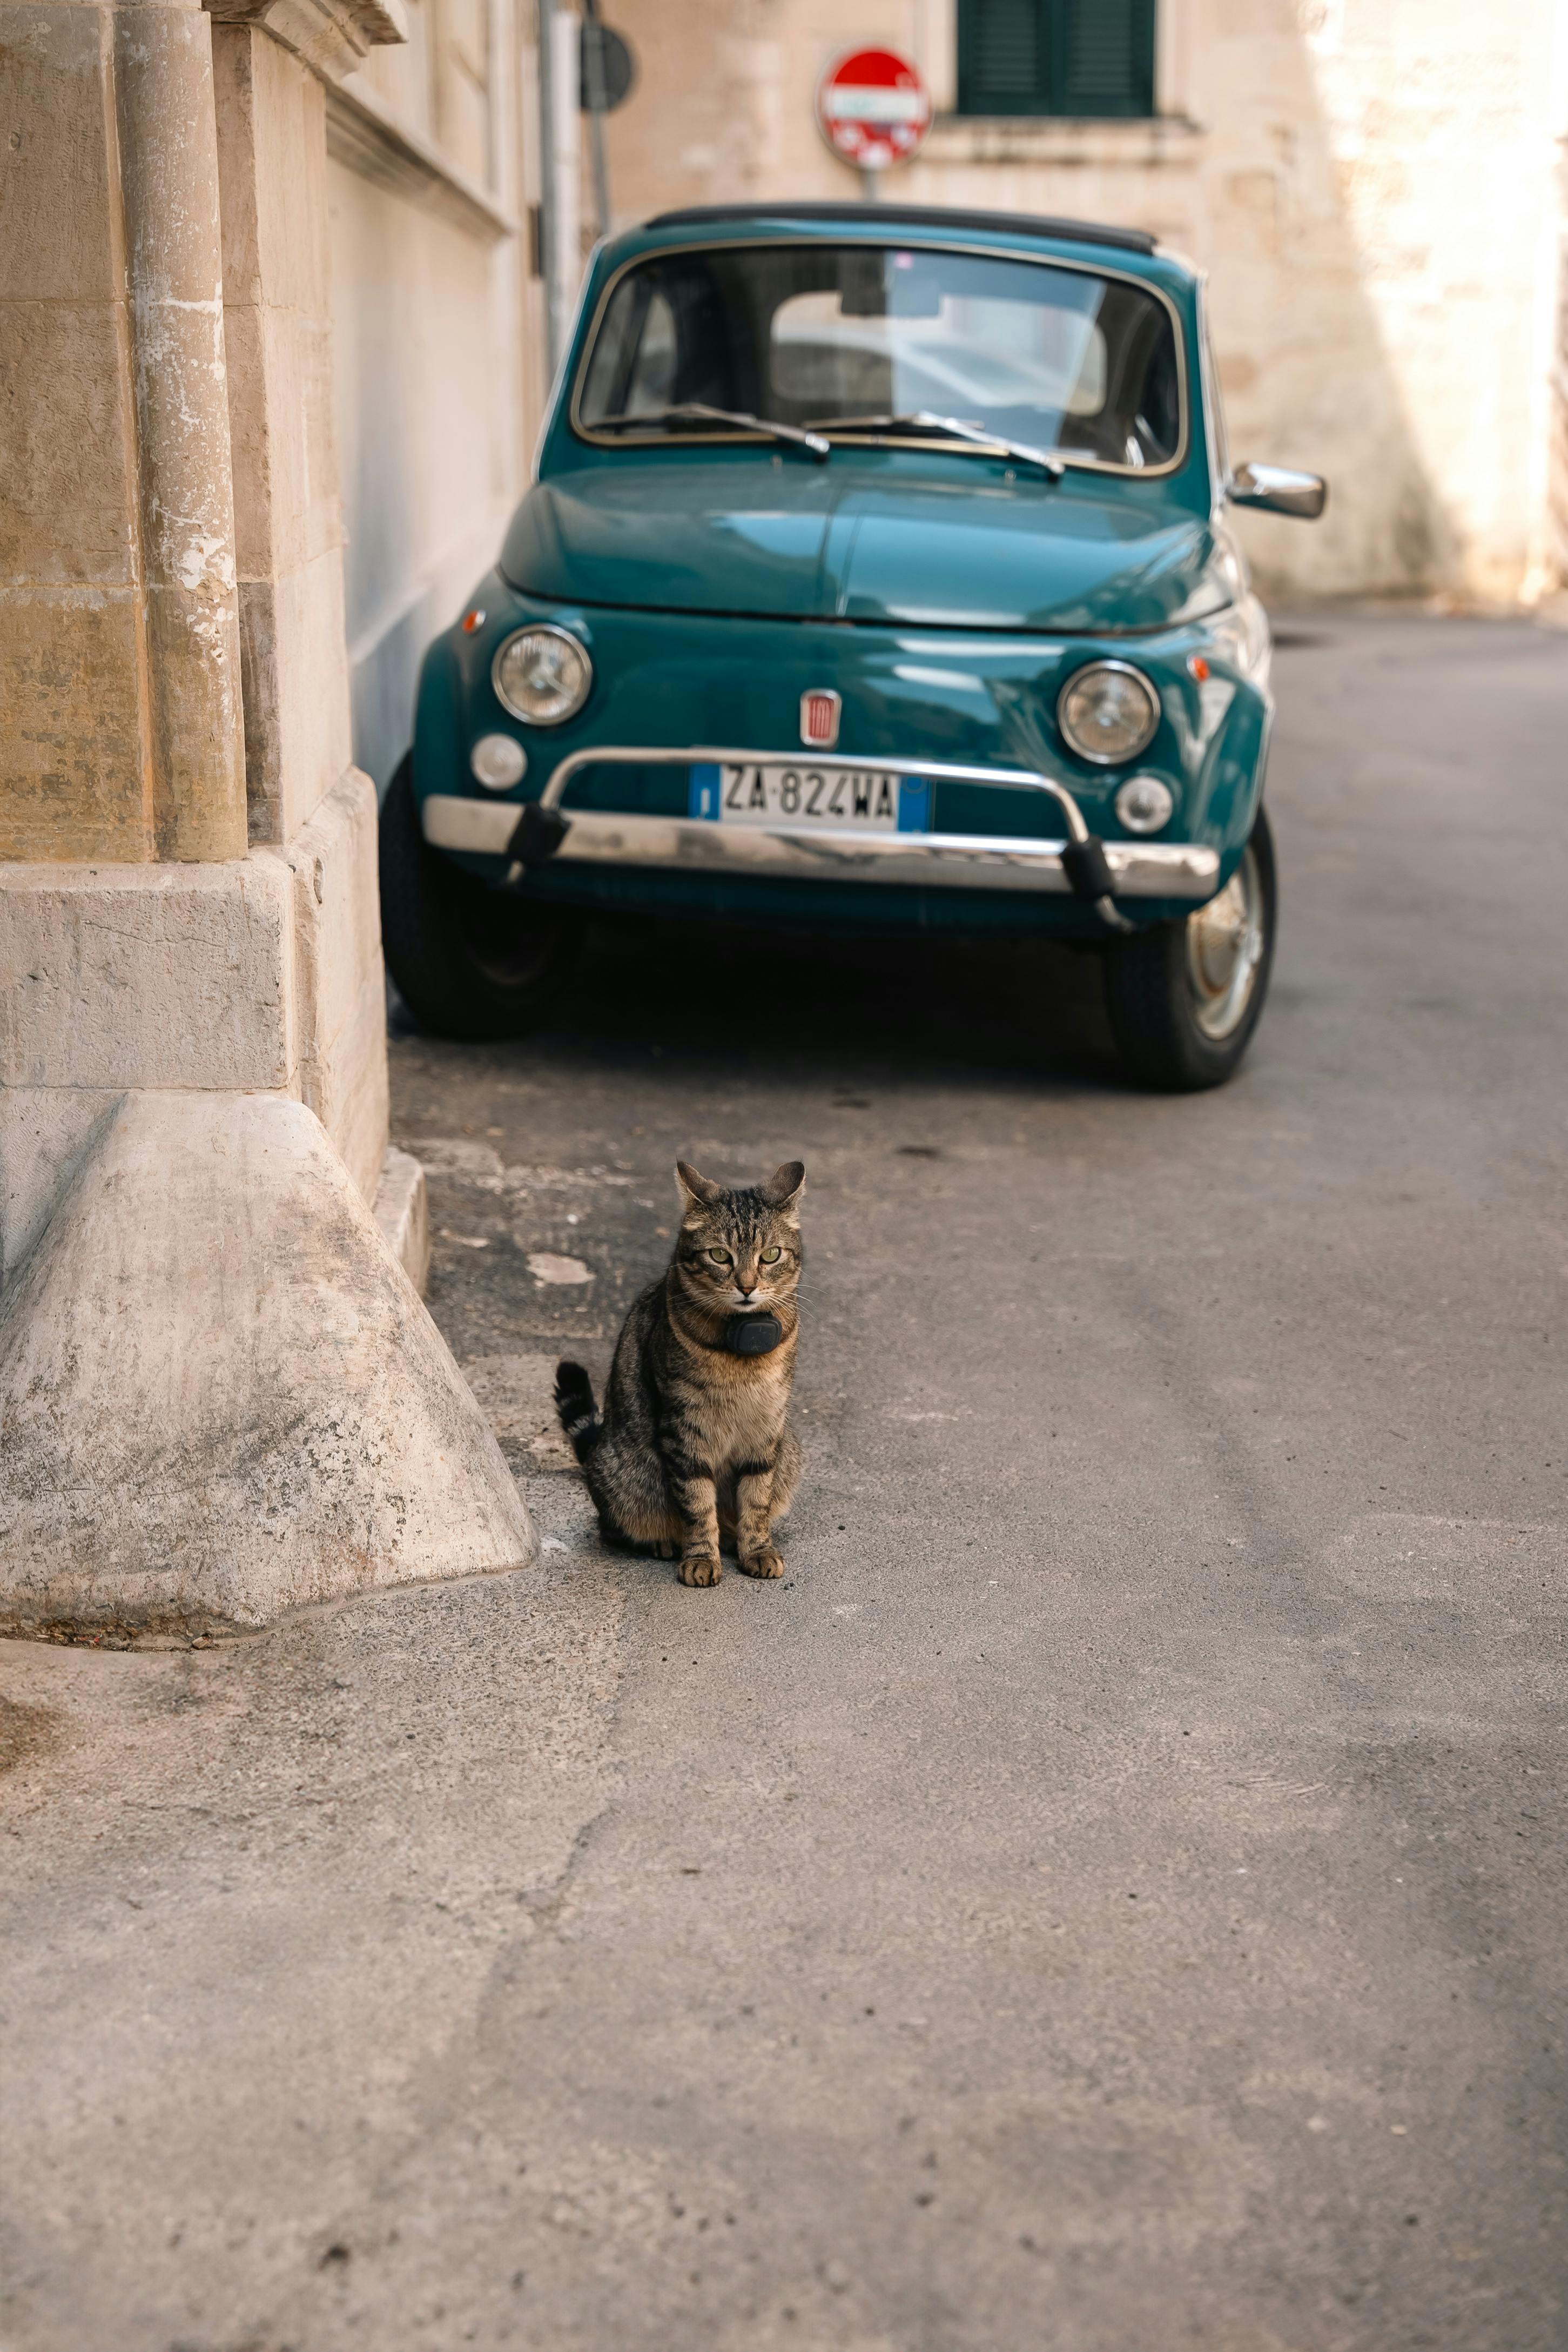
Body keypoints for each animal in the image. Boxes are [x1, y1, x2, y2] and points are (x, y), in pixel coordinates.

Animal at [555, 1152, 804, 1580]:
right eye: (720, 1256)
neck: (742, 1353)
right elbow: (697, 1502)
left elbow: (756, 1499)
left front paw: (757, 1549)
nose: (747, 1287)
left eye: (770, 1255)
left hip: (789, 1452)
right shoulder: (684, 1428)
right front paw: (701, 1558)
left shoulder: (767, 1427)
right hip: (625, 1478)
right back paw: (665, 1542)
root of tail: (599, 1445)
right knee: (612, 1527)